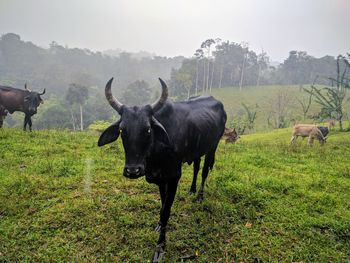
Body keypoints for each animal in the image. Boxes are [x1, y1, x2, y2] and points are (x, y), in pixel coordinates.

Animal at [98, 78, 227, 262]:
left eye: (148, 129)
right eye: (122, 130)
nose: (133, 171)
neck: (156, 153)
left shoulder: (173, 177)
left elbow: (166, 210)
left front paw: (160, 246)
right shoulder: (159, 179)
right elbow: (162, 205)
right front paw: (159, 225)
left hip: (212, 147)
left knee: (204, 171)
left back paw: (200, 196)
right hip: (197, 151)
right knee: (196, 167)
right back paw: (192, 189)